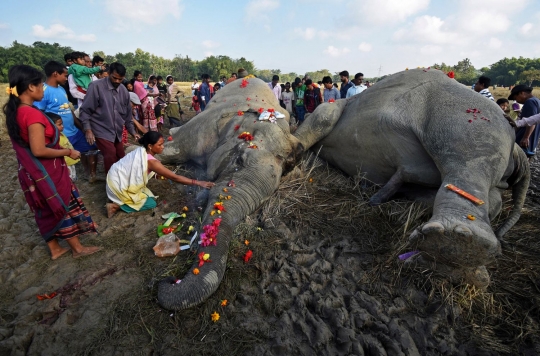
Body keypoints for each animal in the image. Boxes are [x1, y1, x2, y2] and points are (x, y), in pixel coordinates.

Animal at [156, 71, 528, 310]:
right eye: (238, 159)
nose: (163, 283)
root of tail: (518, 146)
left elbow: (322, 117)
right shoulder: (203, 126)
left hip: (468, 118)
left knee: (472, 161)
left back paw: (455, 248)